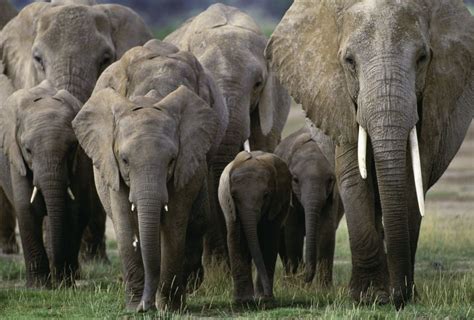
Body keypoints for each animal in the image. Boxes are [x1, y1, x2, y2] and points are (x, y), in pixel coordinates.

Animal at [72, 40, 228, 312]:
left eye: (171, 160)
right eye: (124, 160)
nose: (146, 306)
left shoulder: (190, 153)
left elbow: (175, 221)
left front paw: (169, 307)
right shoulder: (112, 165)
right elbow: (124, 222)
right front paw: (135, 307)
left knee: (197, 220)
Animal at [219, 151, 292, 304]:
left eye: (266, 196)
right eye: (234, 196)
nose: (269, 295)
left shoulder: (276, 201)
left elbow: (269, 238)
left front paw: (264, 300)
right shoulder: (230, 205)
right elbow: (236, 237)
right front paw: (242, 301)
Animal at [274, 120, 344, 284]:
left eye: (330, 180)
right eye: (295, 180)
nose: (304, 276)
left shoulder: (332, 196)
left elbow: (326, 231)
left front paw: (323, 287)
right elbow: (293, 232)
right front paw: (297, 284)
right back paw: (288, 280)